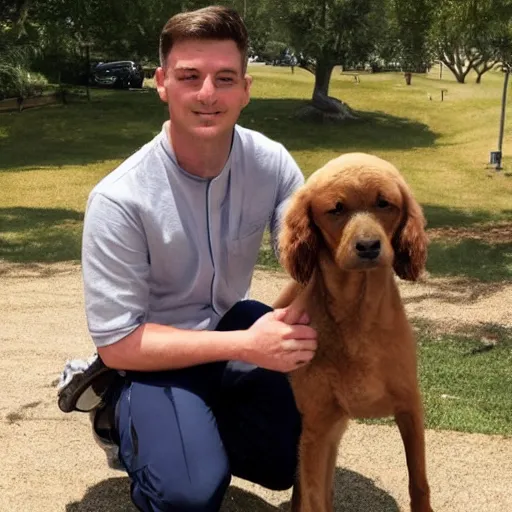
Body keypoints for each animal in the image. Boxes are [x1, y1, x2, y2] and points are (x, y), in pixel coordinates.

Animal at [276, 152, 432, 512]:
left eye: (385, 204)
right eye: (336, 209)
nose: (369, 246)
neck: (358, 315)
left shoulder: (409, 407)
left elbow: (418, 481)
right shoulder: (316, 427)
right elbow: (314, 497)